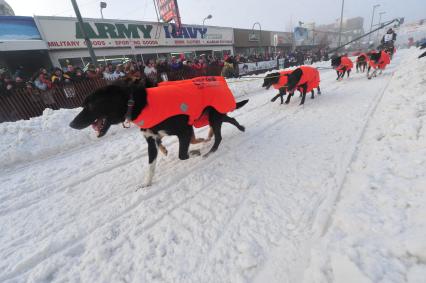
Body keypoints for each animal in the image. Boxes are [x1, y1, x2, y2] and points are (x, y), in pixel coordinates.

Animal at [70, 81, 248, 187]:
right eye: (83, 104)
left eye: (90, 105)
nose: (71, 124)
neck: (135, 105)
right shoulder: (151, 140)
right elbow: (151, 165)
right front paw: (146, 183)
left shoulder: (184, 130)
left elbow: (183, 154)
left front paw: (195, 152)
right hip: (212, 116)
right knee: (229, 118)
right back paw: (240, 128)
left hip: (213, 117)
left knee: (219, 136)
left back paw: (210, 151)